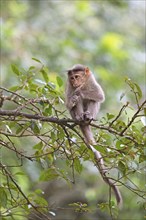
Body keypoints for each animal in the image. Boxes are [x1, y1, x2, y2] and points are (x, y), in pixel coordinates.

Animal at [65, 64, 122, 208]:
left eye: (77, 77)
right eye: (72, 78)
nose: (75, 83)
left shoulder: (91, 81)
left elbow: (99, 96)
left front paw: (80, 92)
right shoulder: (69, 86)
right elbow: (69, 103)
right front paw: (74, 98)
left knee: (93, 100)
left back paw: (87, 116)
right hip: (74, 115)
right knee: (76, 105)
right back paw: (80, 117)